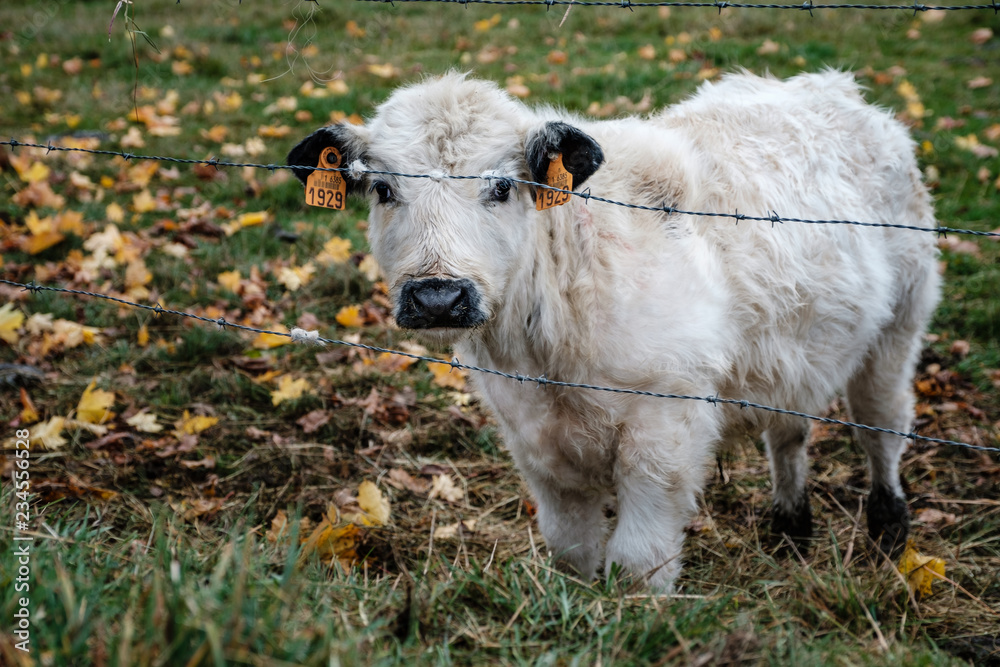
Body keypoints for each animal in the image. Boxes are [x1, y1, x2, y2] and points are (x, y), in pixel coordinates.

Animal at [287, 71, 940, 591]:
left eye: (502, 186)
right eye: (382, 188)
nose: (438, 295)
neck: (548, 356)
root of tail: (835, 89)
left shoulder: (666, 428)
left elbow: (638, 559)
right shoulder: (530, 435)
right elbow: (571, 547)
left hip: (900, 325)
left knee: (881, 425)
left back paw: (888, 528)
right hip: (793, 353)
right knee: (789, 432)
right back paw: (790, 527)